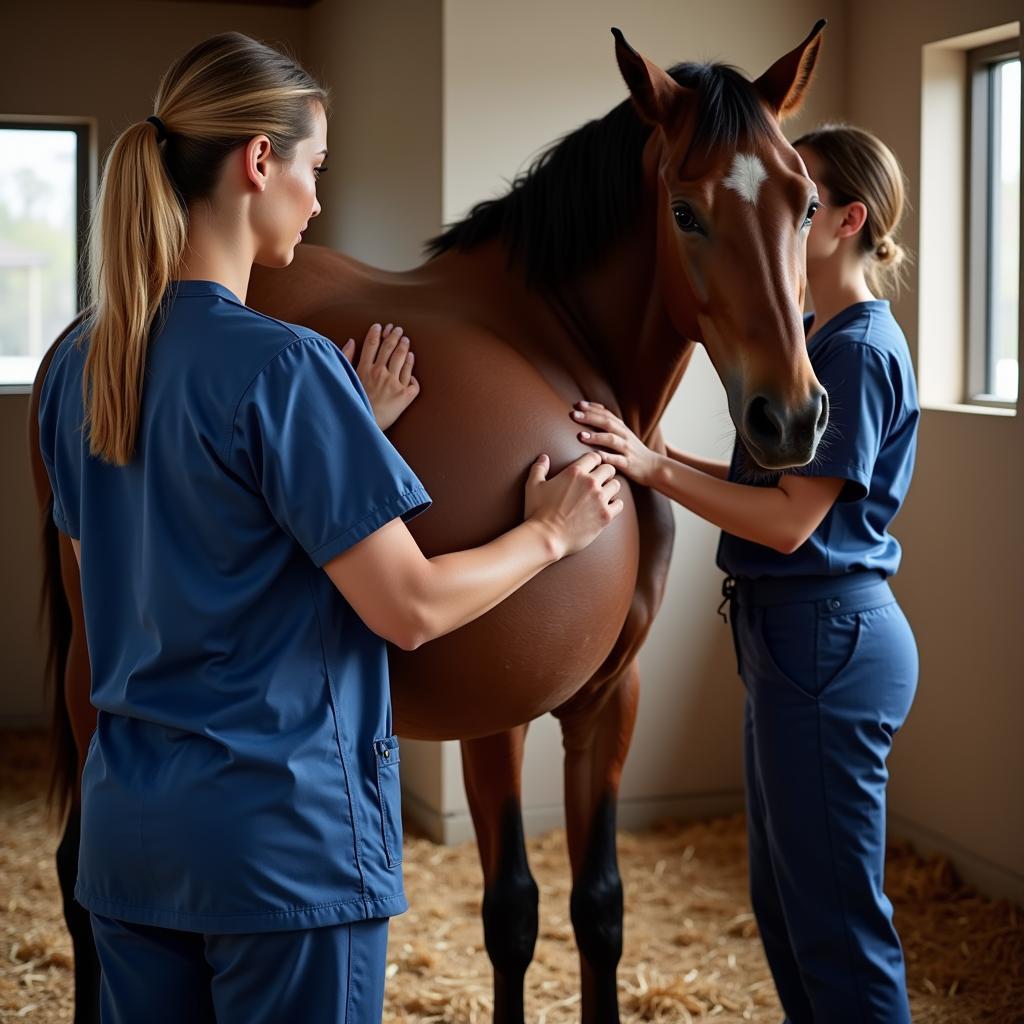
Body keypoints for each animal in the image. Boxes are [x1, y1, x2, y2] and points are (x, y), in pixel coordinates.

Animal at [29, 24, 831, 1024]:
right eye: (685, 211)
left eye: (805, 204)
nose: (789, 418)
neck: (562, 346)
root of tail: (89, 326)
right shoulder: (501, 711)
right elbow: (514, 913)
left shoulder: (609, 697)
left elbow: (599, 908)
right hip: (88, 679)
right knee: (78, 879)